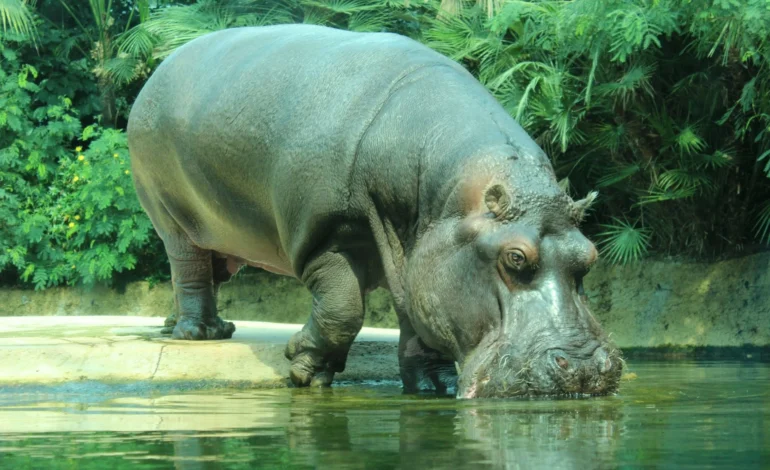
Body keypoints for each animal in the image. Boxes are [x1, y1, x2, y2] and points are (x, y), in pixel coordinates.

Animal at [127, 24, 622, 398]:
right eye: (514, 257)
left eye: (591, 255)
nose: (584, 368)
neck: (446, 201)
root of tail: (160, 70)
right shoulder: (324, 238)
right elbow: (343, 309)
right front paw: (304, 370)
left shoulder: (416, 257)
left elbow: (421, 326)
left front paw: (434, 387)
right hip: (169, 215)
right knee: (188, 268)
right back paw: (198, 334)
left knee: (207, 273)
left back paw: (187, 326)